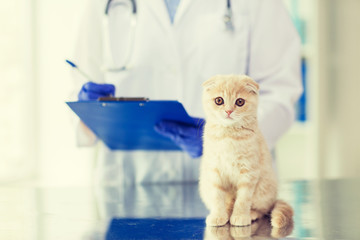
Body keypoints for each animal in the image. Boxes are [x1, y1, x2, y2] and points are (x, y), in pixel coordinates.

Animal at [198, 74, 294, 227]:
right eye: (219, 100)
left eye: (240, 102)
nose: (229, 111)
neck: (229, 135)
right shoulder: (214, 170)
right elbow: (217, 197)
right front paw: (218, 215)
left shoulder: (248, 172)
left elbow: (243, 199)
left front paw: (240, 216)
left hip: (263, 190)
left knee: (263, 209)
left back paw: (251, 213)